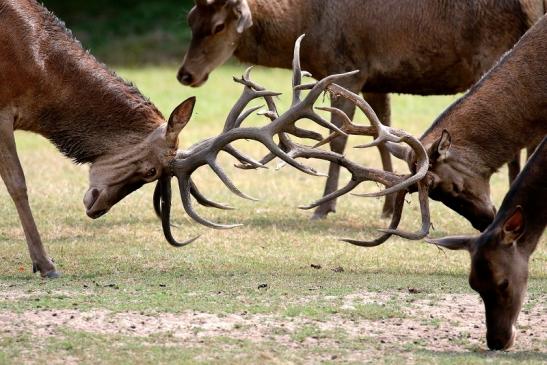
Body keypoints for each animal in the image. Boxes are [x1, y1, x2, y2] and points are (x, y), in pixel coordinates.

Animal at [176, 0, 544, 219]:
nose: (185, 74)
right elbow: (383, 136)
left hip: (492, 48)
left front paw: (324, 206)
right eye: (190, 20)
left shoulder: (346, 68)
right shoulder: (375, 78)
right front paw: (387, 204)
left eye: (219, 26)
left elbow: (338, 139)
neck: (307, 28)